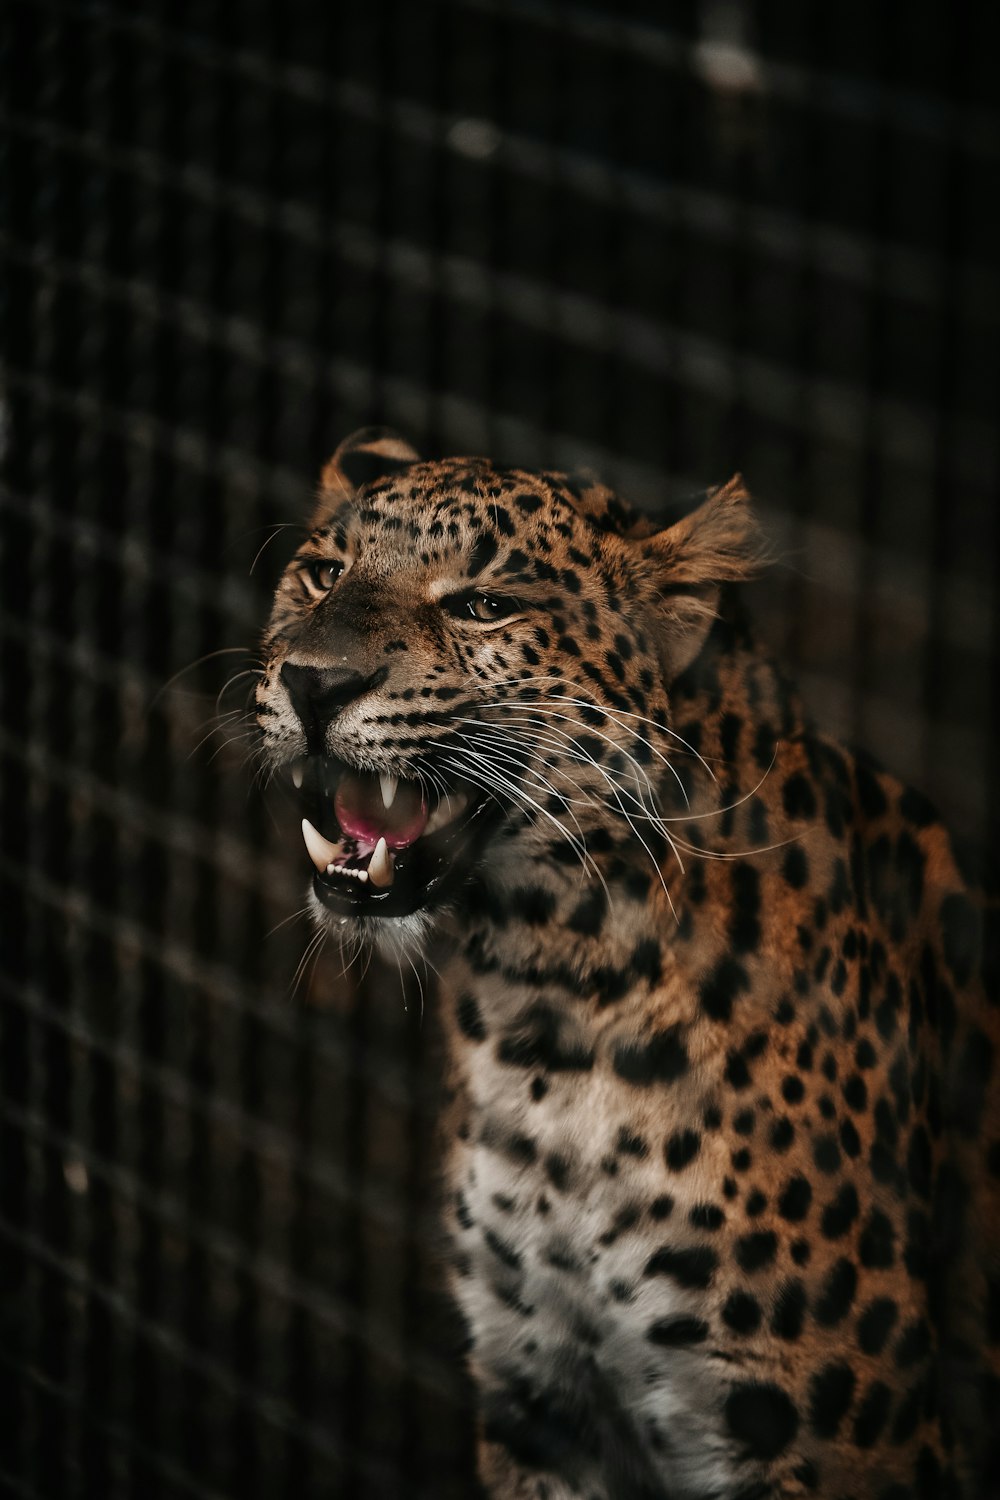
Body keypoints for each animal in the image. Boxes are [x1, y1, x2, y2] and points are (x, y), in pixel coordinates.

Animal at [257, 426, 1000, 1500]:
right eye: (322, 574)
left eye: (485, 606)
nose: (312, 682)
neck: (549, 1010)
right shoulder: (540, 1395)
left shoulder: (829, 1437)